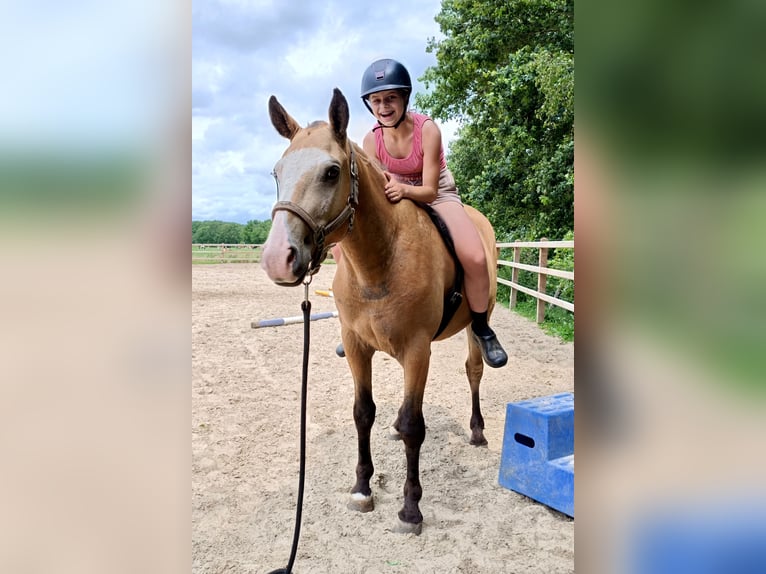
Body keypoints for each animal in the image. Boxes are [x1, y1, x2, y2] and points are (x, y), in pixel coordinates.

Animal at [260, 88, 500, 535]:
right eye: (277, 172)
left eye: (331, 172)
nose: (277, 259)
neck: (380, 258)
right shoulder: (357, 346)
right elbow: (363, 413)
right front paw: (361, 488)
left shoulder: (418, 351)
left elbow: (413, 426)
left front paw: (410, 508)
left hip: (477, 322)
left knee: (474, 369)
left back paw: (477, 429)